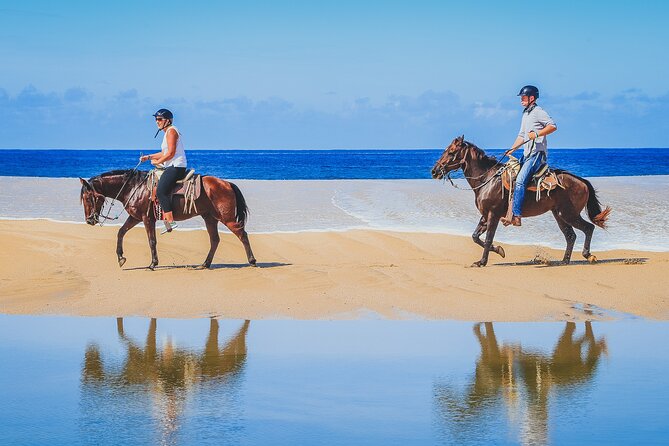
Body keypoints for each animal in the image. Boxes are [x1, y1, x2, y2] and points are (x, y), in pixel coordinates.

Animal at [79, 169, 256, 270]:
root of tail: (227, 183)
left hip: (227, 218)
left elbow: (151, 241)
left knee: (242, 234)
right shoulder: (135, 217)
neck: (134, 186)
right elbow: (121, 232)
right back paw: (204, 264)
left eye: (87, 198)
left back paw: (252, 261)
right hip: (210, 218)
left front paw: (153, 264)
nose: (89, 220)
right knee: (215, 240)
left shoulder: (147, 218)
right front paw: (121, 258)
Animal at [431, 136, 611, 267]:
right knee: (571, 236)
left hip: (569, 214)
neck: (487, 178)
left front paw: (482, 261)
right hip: (559, 214)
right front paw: (499, 250)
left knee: (588, 228)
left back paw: (588, 255)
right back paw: (564, 261)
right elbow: (475, 237)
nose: (434, 171)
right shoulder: (485, 215)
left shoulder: (493, 215)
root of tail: (581, 181)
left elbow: (488, 238)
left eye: (451, 152)